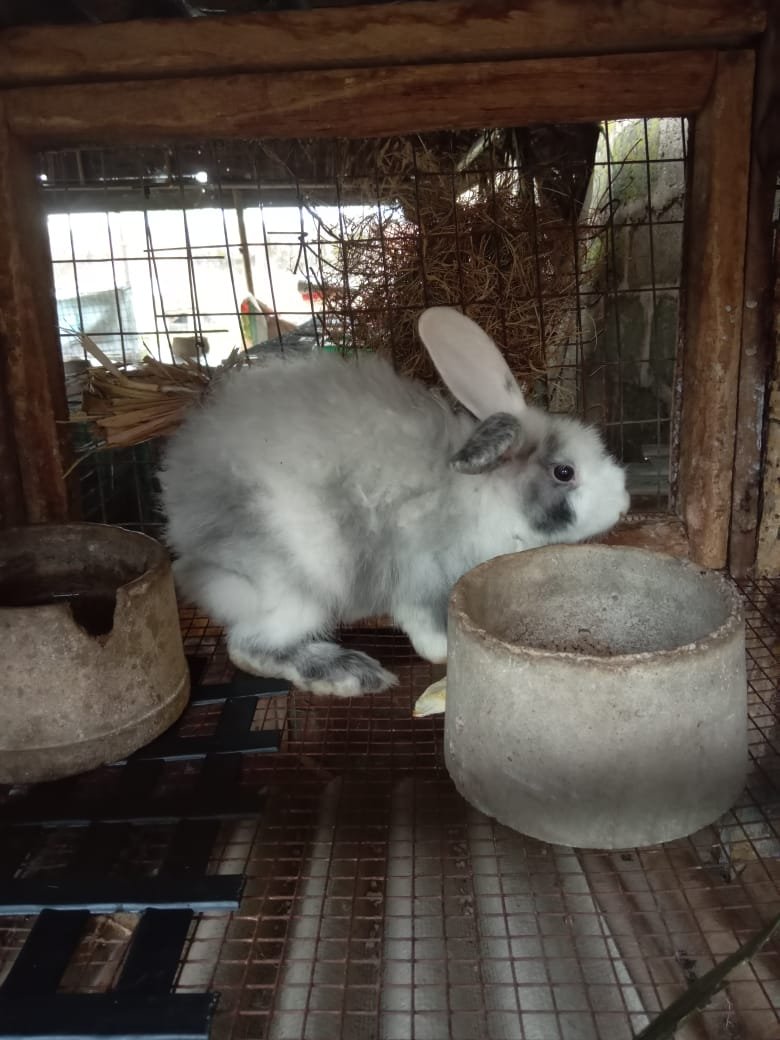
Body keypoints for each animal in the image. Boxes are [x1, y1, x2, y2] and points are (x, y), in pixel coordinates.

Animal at [159, 306, 630, 696]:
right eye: (564, 472)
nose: (624, 501)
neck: (487, 495)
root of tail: (189, 542)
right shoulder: (419, 578)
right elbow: (427, 630)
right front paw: (444, 651)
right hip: (294, 594)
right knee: (247, 648)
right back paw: (347, 675)